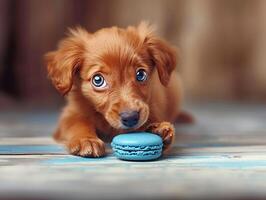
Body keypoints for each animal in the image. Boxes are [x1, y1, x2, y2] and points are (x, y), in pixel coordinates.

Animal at [45, 21, 191, 156]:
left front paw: (158, 130)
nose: (130, 117)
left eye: (141, 74)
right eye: (98, 80)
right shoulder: (70, 115)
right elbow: (76, 123)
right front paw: (86, 139)